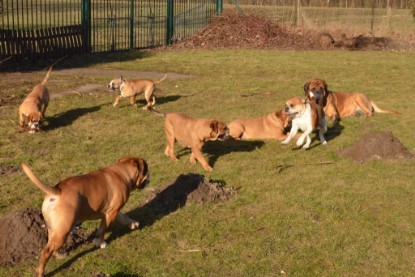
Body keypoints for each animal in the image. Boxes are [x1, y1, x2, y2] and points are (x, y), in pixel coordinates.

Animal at [22, 157, 150, 276]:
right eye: (146, 168)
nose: (150, 174)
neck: (122, 171)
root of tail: (57, 191)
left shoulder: (113, 211)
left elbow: (123, 217)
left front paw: (133, 223)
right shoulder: (111, 213)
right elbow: (103, 229)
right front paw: (100, 243)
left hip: (55, 230)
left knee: (51, 246)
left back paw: (59, 255)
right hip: (64, 229)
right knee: (46, 251)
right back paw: (40, 273)